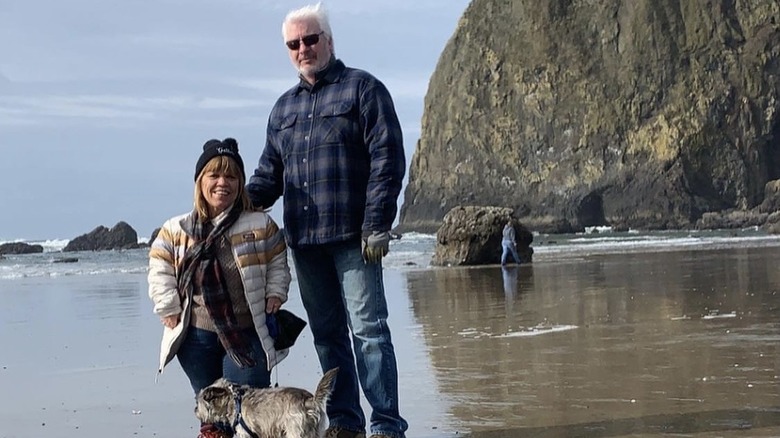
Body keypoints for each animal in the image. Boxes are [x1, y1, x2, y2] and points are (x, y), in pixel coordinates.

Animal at [195, 366, 338, 438]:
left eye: (198, 403)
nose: (195, 410)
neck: (233, 401)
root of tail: (310, 400)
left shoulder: (245, 433)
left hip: (295, 431)